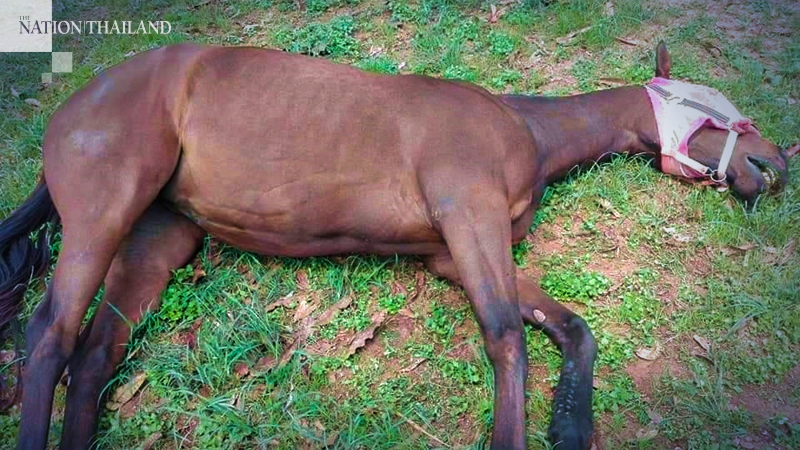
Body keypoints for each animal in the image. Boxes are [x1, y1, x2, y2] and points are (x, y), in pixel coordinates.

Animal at [0, 41, 788, 450]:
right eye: (706, 103)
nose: (775, 163)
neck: (523, 130)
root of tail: (75, 104)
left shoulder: (455, 250)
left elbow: (572, 328)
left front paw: (570, 425)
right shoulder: (466, 215)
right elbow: (506, 337)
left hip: (158, 235)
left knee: (94, 355)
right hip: (107, 206)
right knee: (49, 337)